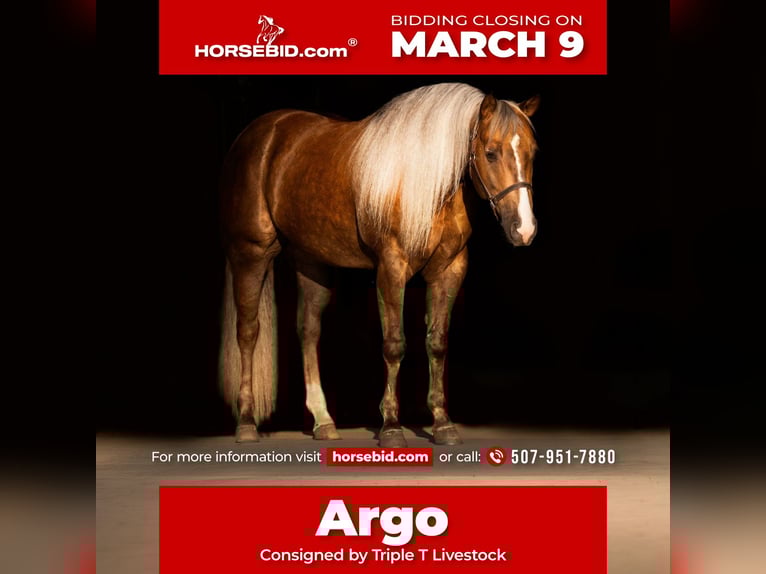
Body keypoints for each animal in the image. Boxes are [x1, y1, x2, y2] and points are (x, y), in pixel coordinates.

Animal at [218, 83, 539, 446]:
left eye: (532, 152)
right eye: (490, 152)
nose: (524, 229)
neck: (423, 183)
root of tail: (258, 134)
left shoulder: (450, 271)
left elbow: (437, 343)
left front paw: (443, 424)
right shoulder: (391, 268)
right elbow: (394, 345)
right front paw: (391, 427)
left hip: (311, 262)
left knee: (308, 331)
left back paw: (323, 422)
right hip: (251, 253)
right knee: (248, 333)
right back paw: (246, 424)